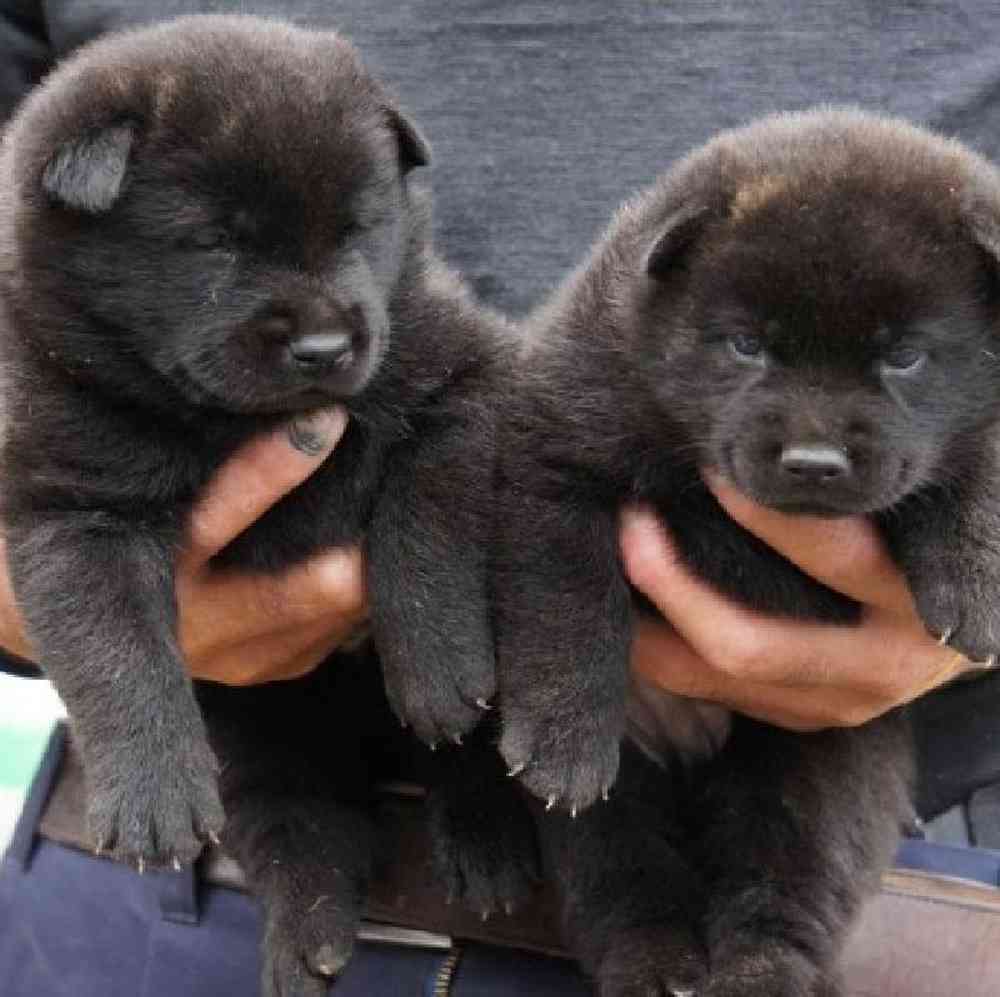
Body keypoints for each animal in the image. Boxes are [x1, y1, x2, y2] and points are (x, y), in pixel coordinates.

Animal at [0, 14, 504, 993]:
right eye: (216, 243)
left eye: (360, 228)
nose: (324, 345)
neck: (222, 424)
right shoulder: (69, 497)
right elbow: (114, 645)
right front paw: (153, 790)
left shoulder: (463, 364)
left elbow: (427, 509)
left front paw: (435, 668)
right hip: (256, 718)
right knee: (293, 812)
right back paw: (309, 933)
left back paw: (482, 844)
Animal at [490, 107, 1000, 994]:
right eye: (745, 345)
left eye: (904, 356)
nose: (814, 462)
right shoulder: (556, 438)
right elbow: (567, 600)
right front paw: (562, 737)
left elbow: (978, 455)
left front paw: (973, 576)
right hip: (627, 796)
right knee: (619, 876)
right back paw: (654, 960)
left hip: (819, 773)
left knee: (787, 879)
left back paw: (761, 969)